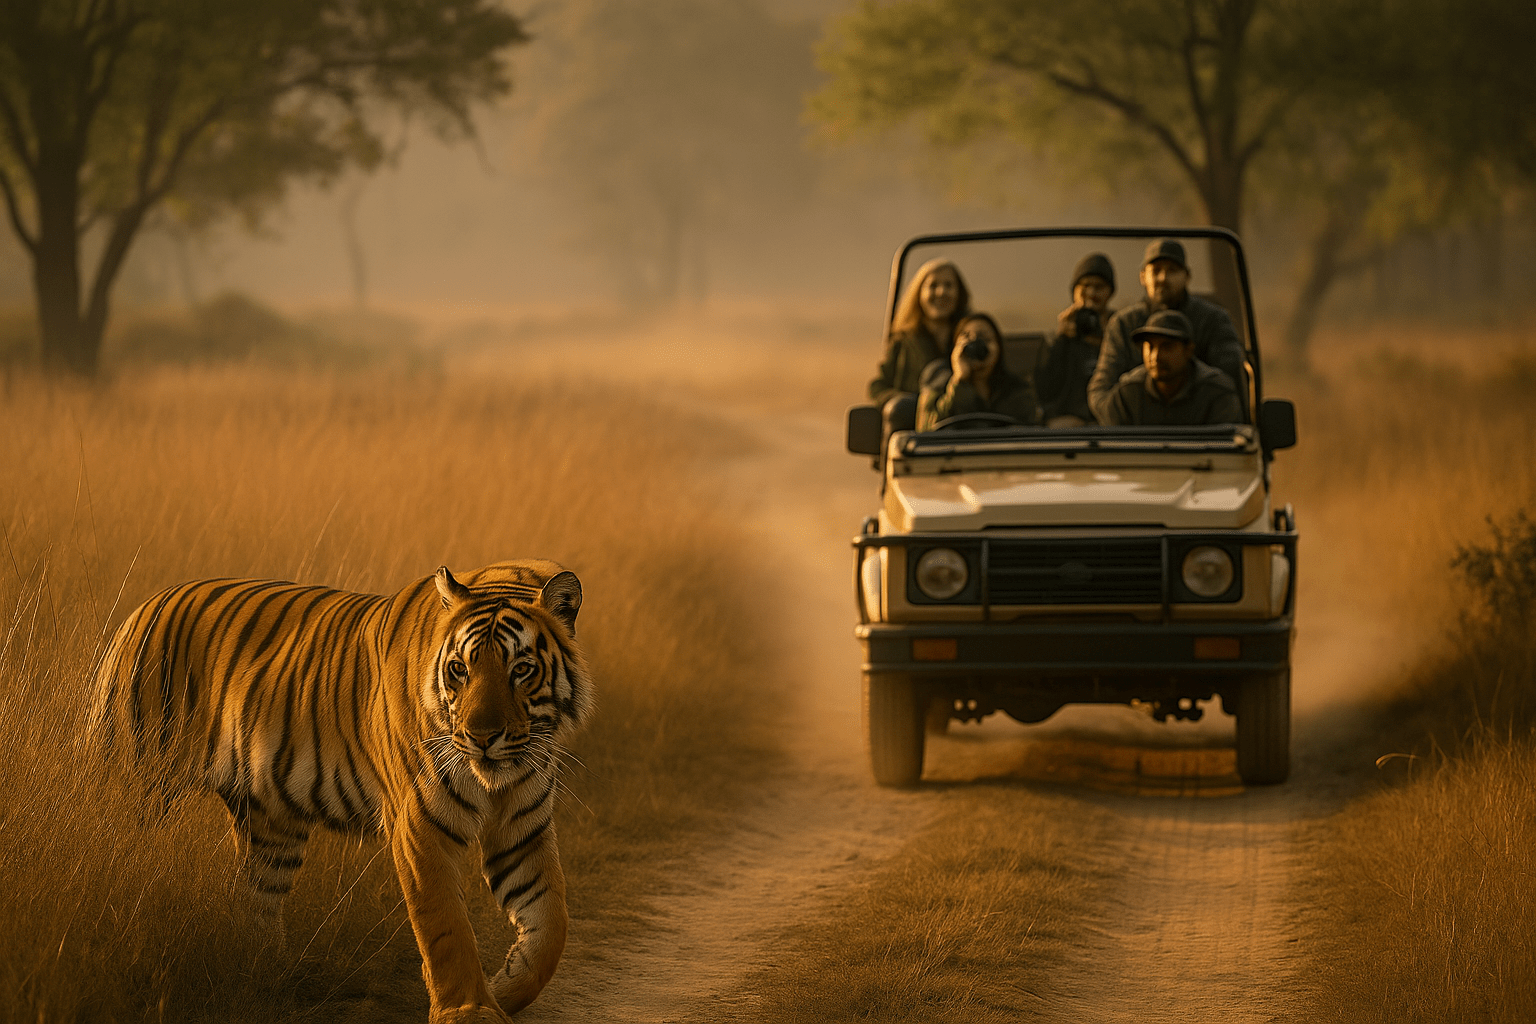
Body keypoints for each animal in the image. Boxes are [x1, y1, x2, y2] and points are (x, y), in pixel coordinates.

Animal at [87, 559, 593, 1024]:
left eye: (521, 669)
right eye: (459, 670)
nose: (481, 736)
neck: (500, 779)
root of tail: (139, 611)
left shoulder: (522, 829)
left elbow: (552, 923)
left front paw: (504, 989)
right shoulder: (420, 827)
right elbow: (446, 926)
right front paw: (467, 1010)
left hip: (270, 827)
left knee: (255, 898)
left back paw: (264, 978)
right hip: (139, 785)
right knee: (119, 864)